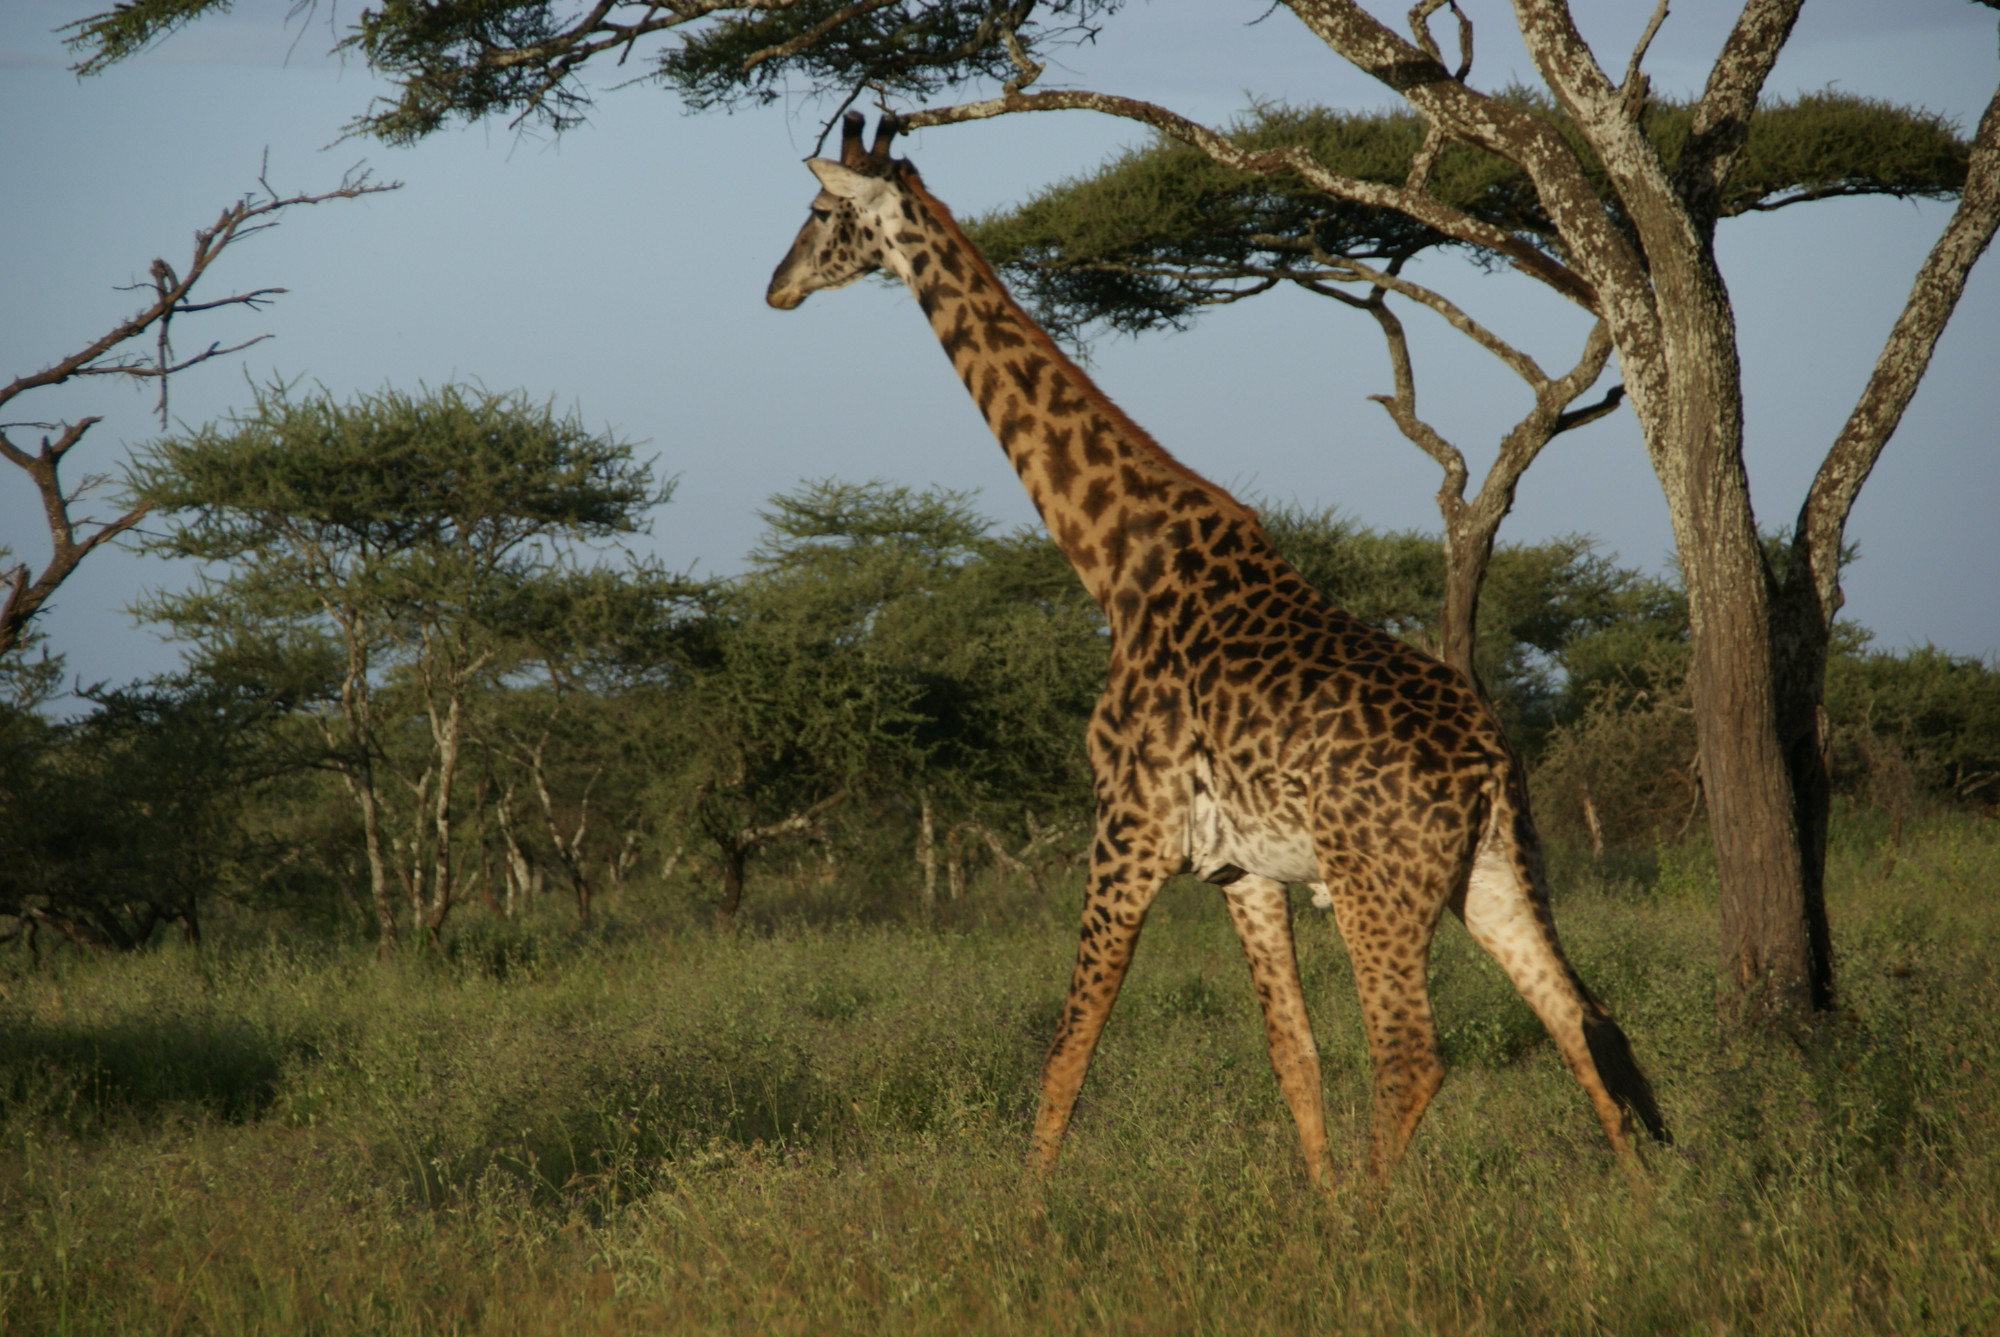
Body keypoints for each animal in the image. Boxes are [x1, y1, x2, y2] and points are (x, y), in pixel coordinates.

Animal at [756, 109, 1664, 1184]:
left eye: (820, 211)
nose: (776, 286)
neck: (1116, 560)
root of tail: (1488, 760)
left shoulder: (1126, 830)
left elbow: (1067, 1051)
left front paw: (1022, 1214)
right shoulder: (1244, 871)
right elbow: (1293, 1056)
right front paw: (1315, 1210)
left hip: (1376, 886)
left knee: (1413, 1055)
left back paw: (1386, 1218)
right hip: (1494, 869)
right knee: (1583, 1019)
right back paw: (1646, 1208)